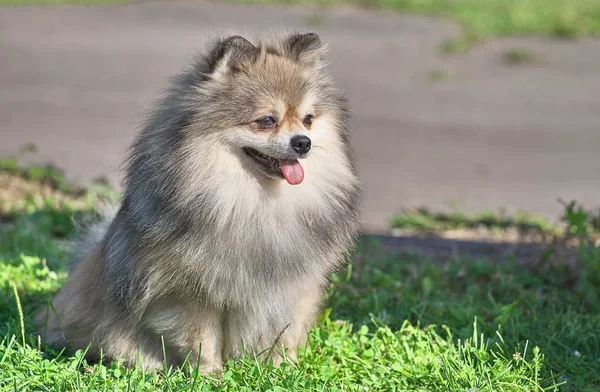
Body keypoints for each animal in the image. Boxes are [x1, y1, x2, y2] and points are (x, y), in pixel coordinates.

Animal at [41, 30, 366, 374]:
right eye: (266, 120)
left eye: (308, 119)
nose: (303, 143)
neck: (254, 201)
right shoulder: (189, 294)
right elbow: (202, 341)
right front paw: (211, 376)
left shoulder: (291, 290)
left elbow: (284, 334)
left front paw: (284, 370)